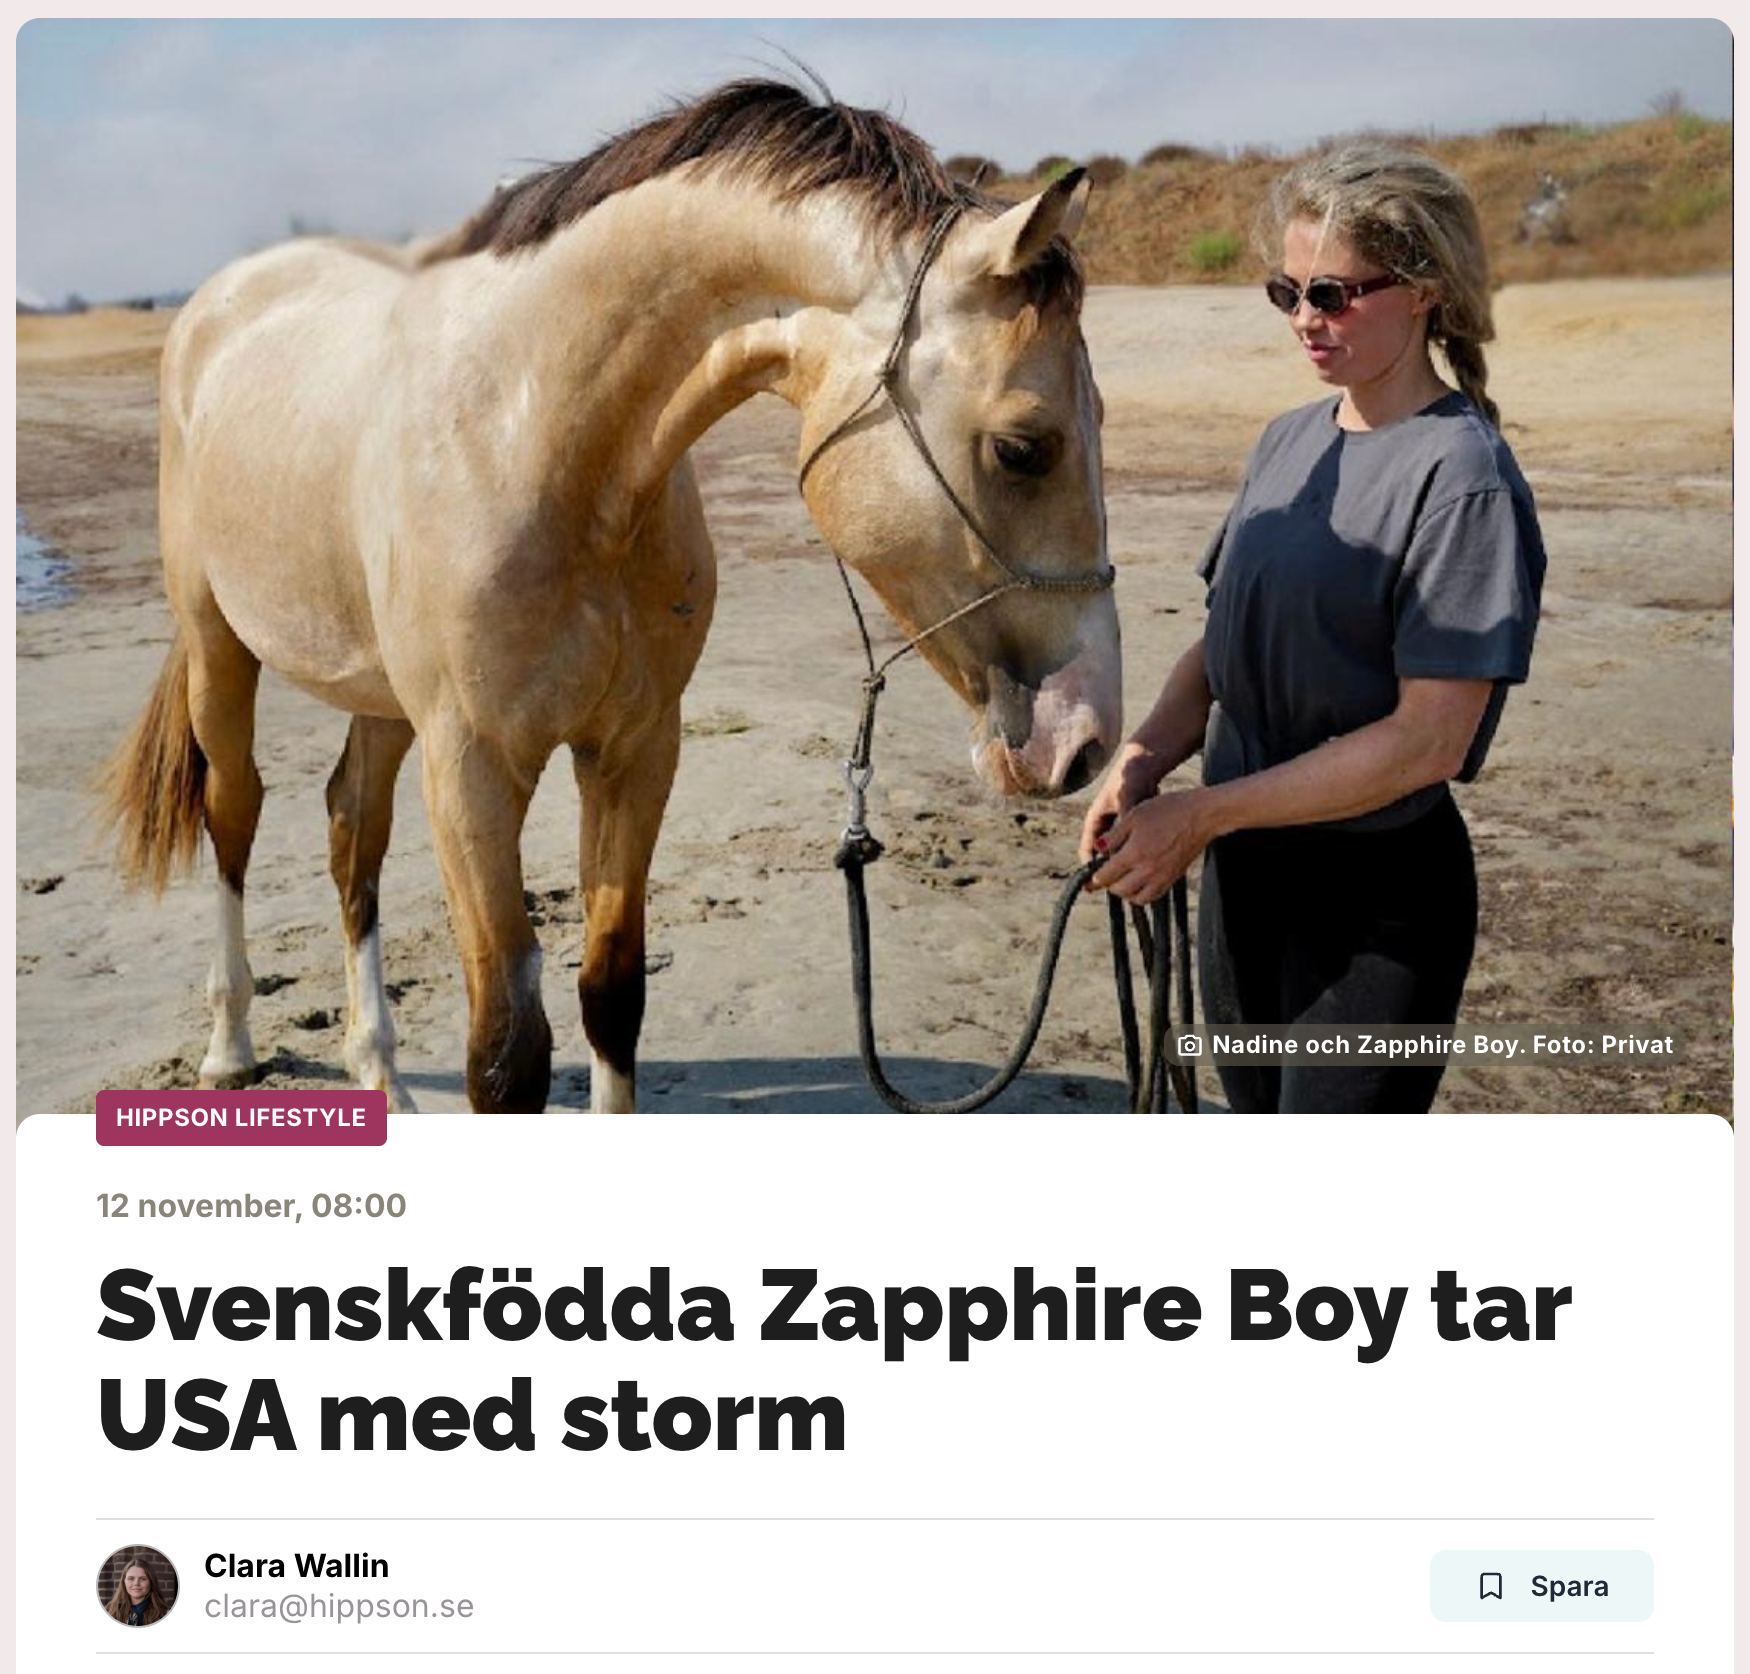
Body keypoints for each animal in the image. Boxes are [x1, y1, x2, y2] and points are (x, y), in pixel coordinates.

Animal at [102, 80, 1121, 1114]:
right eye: (1023, 447)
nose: (1087, 742)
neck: (537, 441)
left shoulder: (635, 748)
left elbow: (611, 991)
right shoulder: (471, 771)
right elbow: (506, 1051)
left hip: (381, 700)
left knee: (354, 831)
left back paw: (379, 1074)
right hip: (219, 649)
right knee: (234, 814)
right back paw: (230, 1046)